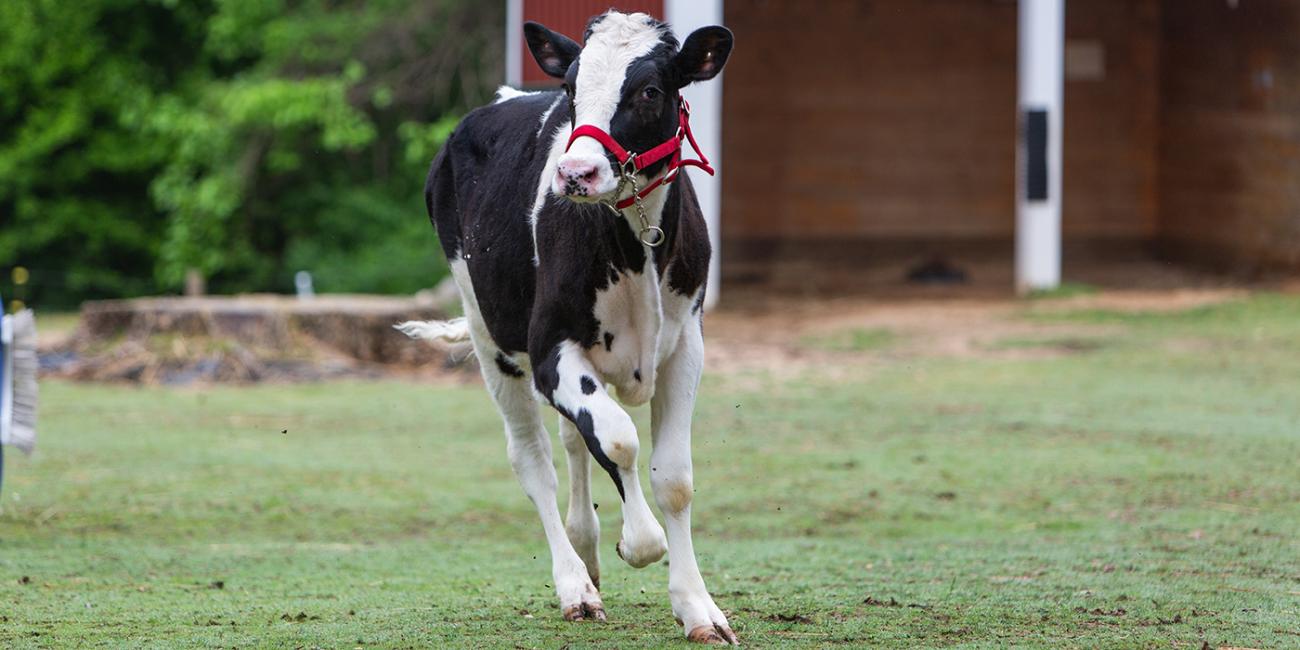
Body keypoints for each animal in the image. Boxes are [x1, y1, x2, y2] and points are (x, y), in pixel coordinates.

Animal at [395, 8, 738, 644]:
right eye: (572, 87)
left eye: (649, 90)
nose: (576, 172)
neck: (634, 245)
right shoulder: (550, 349)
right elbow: (619, 439)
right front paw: (639, 541)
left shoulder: (686, 345)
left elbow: (673, 477)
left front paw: (698, 608)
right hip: (489, 337)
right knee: (535, 461)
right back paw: (575, 583)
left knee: (573, 440)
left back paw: (588, 551)